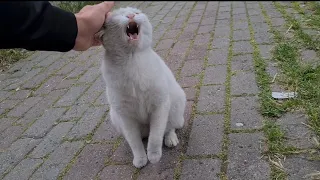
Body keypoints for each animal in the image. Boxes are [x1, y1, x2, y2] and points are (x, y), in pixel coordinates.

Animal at [99, 6, 186, 168]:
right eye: (120, 15)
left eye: (136, 13)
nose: (131, 15)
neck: (131, 59)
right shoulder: (125, 116)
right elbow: (134, 142)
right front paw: (140, 159)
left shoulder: (160, 106)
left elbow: (156, 136)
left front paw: (154, 156)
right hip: (115, 117)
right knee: (139, 137)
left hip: (176, 104)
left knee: (168, 128)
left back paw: (170, 139)